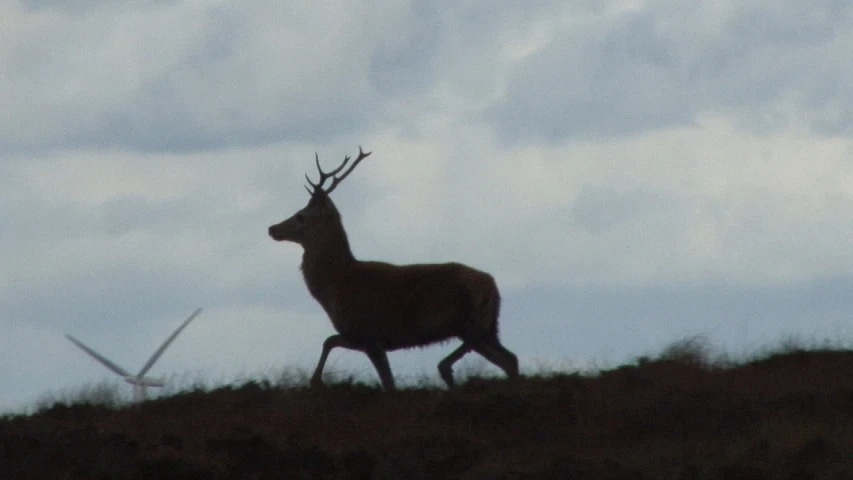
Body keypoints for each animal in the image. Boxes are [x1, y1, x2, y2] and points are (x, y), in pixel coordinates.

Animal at [268, 147, 520, 390]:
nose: (272, 228)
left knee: (486, 351)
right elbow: (332, 341)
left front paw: (316, 381)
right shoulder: (359, 336)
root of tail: (492, 285)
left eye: (300, 216)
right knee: (510, 360)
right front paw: (316, 380)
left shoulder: (368, 333)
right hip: (489, 326)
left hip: (470, 322)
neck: (337, 285)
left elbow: (383, 379)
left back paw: (446, 369)